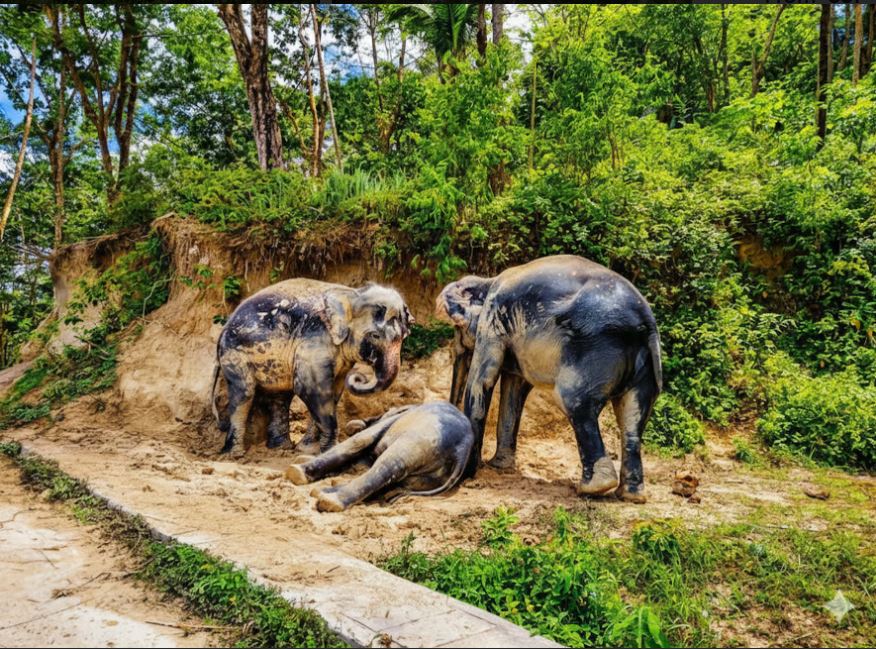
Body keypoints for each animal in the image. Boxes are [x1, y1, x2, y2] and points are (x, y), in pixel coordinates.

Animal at [211, 279, 411, 457]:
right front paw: (329, 450)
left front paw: (307, 450)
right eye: (375, 336)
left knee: (280, 396)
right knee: (244, 394)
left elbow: (333, 393)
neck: (352, 294)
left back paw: (280, 448)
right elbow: (311, 389)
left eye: (404, 337)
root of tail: (221, 332)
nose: (359, 377)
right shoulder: (314, 339)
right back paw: (235, 455)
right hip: (235, 354)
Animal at [286, 401, 473, 512]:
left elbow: (359, 441)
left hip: (421, 440)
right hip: (432, 475)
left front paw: (297, 468)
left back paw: (328, 500)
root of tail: (463, 450)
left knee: (388, 466)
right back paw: (324, 491)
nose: (357, 423)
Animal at [436, 254, 662, 503]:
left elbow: (483, 380)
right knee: (632, 418)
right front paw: (499, 467)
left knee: (574, 401)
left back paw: (592, 489)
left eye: (457, 329)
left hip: (595, 349)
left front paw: (469, 475)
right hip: (645, 366)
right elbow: (514, 391)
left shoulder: (493, 318)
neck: (488, 280)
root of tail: (646, 323)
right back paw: (630, 495)